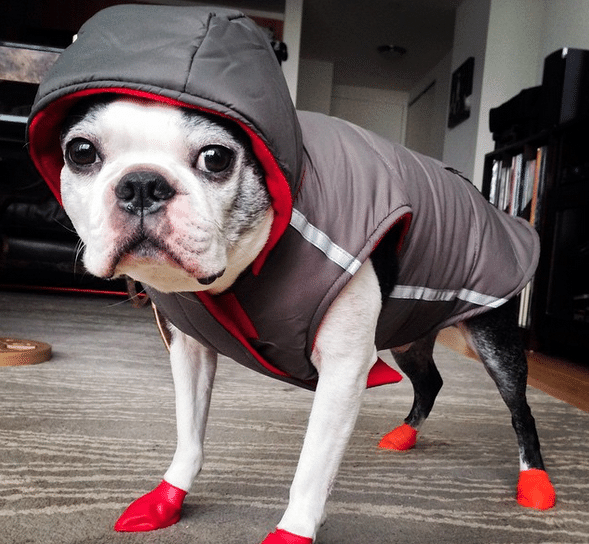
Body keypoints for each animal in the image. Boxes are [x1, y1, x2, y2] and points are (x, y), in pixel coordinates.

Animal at [56, 95, 556, 540]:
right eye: (80, 152)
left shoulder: (343, 371)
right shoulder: (189, 349)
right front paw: (167, 498)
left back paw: (534, 479)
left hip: (493, 337)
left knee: (520, 410)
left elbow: (312, 470)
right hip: (409, 330)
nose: (142, 183)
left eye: (216, 158)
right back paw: (405, 435)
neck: (242, 274)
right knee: (430, 381)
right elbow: (189, 433)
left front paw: (292, 531)